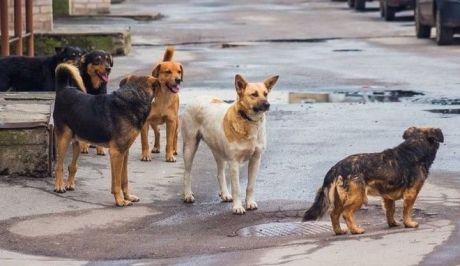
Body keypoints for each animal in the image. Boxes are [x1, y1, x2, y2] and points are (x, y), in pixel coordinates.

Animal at [52, 63, 158, 207]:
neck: (134, 96)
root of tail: (64, 89)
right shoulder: (116, 153)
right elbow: (117, 183)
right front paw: (120, 200)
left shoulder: (124, 152)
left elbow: (124, 179)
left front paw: (128, 196)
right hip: (64, 138)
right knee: (59, 166)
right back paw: (59, 186)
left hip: (77, 141)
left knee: (72, 165)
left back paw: (69, 184)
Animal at [181, 73, 278, 214]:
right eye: (254, 94)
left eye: (265, 94)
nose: (267, 104)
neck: (248, 121)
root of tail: (198, 97)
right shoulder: (234, 163)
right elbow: (237, 188)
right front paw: (237, 207)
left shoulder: (256, 159)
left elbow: (250, 186)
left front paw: (250, 203)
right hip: (190, 146)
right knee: (187, 173)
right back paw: (187, 194)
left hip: (218, 152)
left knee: (220, 173)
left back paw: (225, 194)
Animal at [302, 127, 442, 235]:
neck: (415, 147)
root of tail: (336, 167)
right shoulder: (411, 193)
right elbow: (407, 211)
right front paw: (409, 223)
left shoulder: (387, 197)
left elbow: (390, 211)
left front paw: (392, 223)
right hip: (358, 197)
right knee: (346, 214)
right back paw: (356, 230)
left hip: (340, 198)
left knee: (334, 214)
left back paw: (339, 231)